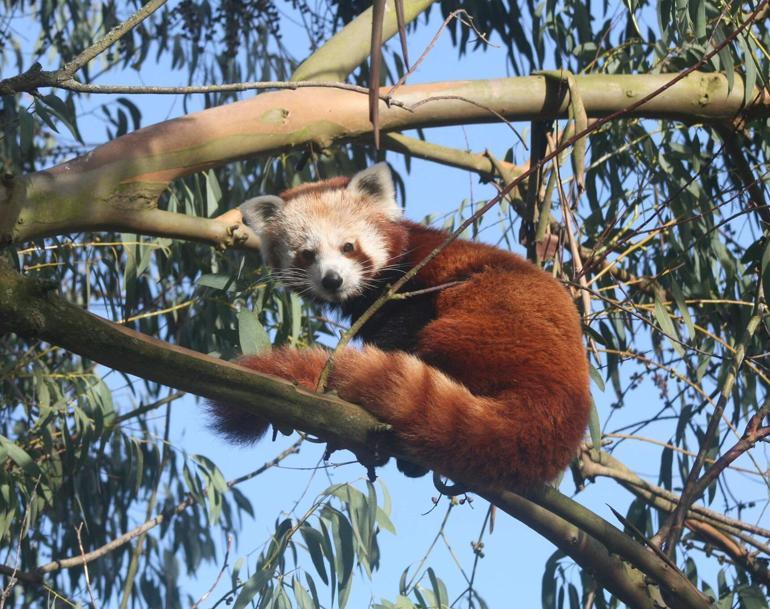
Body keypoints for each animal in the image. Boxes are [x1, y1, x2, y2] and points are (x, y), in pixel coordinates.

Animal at [208, 164, 588, 486]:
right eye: (307, 254)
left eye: (348, 247)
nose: (332, 280)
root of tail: (567, 398)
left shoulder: (414, 282)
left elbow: (407, 320)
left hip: (496, 320)